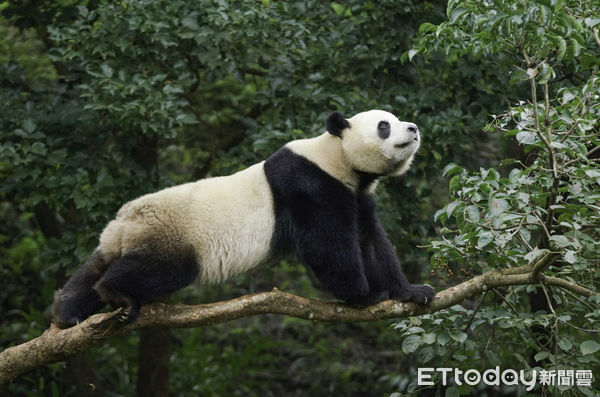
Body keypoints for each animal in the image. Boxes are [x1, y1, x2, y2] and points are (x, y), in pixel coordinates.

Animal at [52, 110, 436, 326]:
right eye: (385, 125)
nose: (413, 128)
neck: (336, 156)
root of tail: (123, 223)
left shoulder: (359, 194)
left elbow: (371, 240)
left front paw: (410, 291)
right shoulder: (309, 185)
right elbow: (328, 245)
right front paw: (364, 295)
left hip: (126, 237)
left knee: (93, 268)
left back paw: (67, 313)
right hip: (172, 233)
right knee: (157, 268)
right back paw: (117, 294)